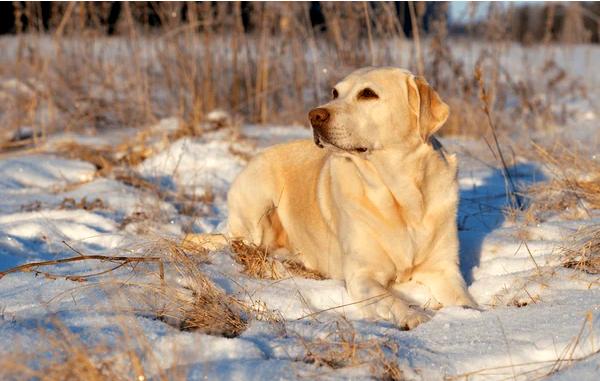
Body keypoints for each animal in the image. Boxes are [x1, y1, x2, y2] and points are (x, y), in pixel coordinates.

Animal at [223, 67, 476, 328]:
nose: (314, 115)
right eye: (335, 93)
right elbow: (392, 299)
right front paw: (413, 316)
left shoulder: (444, 269)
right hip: (258, 203)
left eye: (368, 94)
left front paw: (472, 315)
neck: (402, 195)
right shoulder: (362, 276)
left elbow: (465, 300)